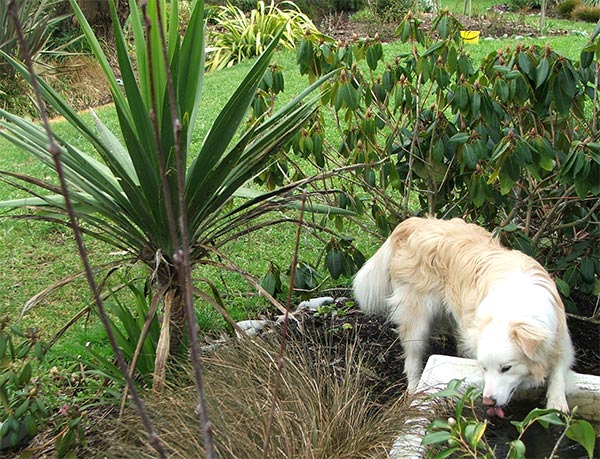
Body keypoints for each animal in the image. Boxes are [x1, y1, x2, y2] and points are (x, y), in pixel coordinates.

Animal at [354, 217, 576, 418]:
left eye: (506, 368)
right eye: (484, 368)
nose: (488, 401)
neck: (517, 303)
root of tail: (417, 222)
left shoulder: (560, 336)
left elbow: (559, 368)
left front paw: (557, 401)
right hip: (417, 319)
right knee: (412, 359)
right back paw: (415, 390)